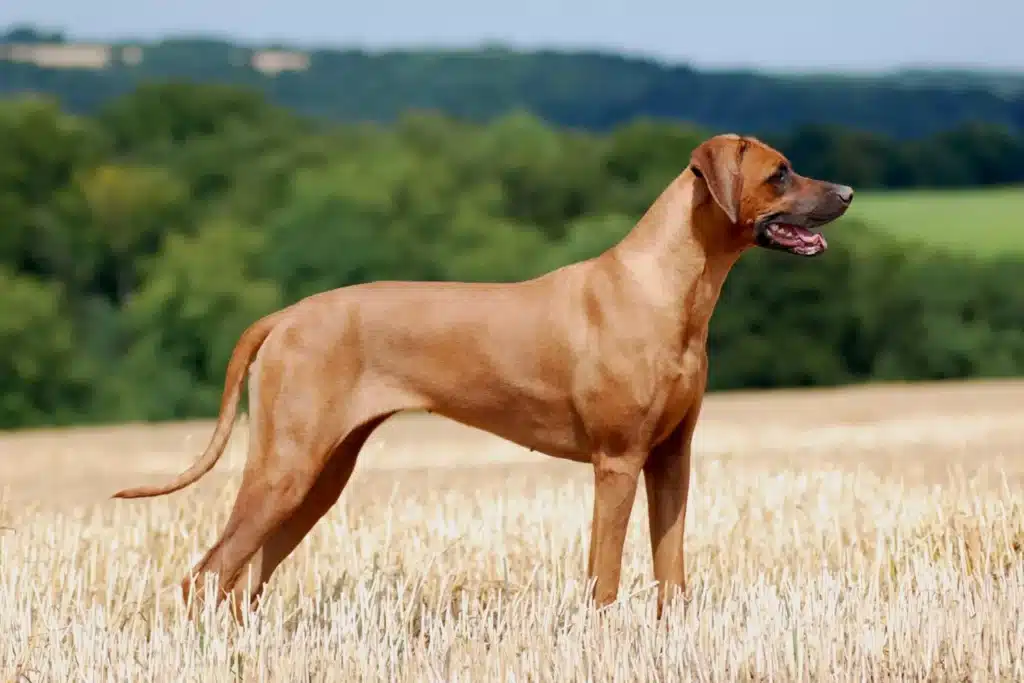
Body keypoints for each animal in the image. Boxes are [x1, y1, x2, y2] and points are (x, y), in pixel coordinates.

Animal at [112, 133, 851, 618]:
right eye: (781, 174)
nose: (846, 191)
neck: (670, 287)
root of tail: (285, 316)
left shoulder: (671, 458)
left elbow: (672, 571)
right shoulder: (617, 462)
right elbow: (605, 577)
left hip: (318, 476)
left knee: (245, 577)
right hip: (285, 466)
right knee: (206, 575)